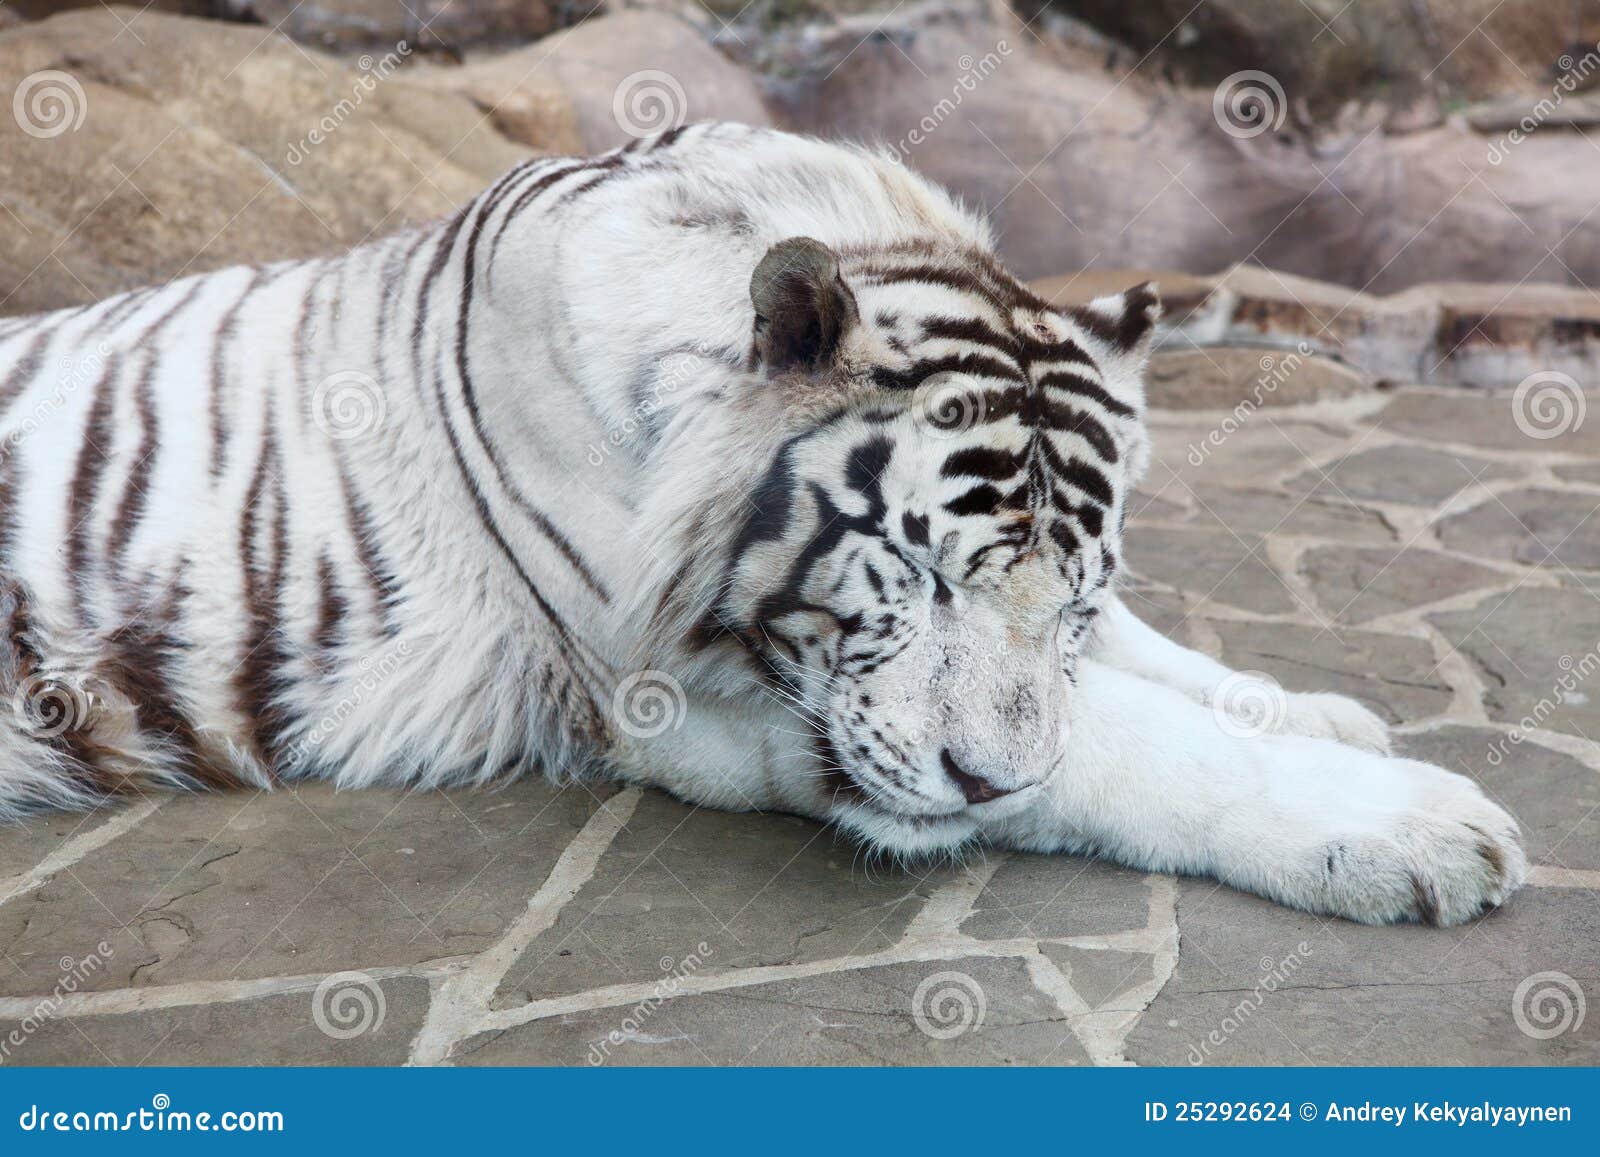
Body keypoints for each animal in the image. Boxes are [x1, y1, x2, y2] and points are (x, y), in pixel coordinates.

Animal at [0, 123, 1523, 926]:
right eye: (916, 573)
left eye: (1075, 591)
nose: (982, 789)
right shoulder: (683, 700)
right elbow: (1113, 742)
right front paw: (1412, 825)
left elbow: (1147, 665)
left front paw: (1316, 709)